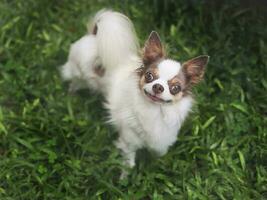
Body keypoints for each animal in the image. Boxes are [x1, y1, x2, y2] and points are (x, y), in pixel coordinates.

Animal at [61, 9, 210, 176]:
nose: (158, 87)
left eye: (175, 88)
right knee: (73, 83)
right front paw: (124, 178)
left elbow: (158, 154)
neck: (155, 112)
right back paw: (71, 97)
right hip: (78, 74)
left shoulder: (162, 141)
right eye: (149, 76)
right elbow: (129, 164)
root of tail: (94, 36)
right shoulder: (128, 142)